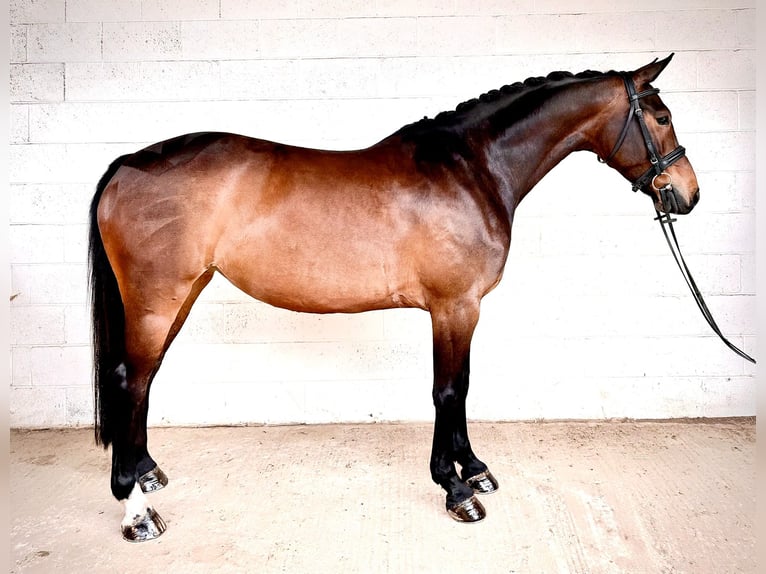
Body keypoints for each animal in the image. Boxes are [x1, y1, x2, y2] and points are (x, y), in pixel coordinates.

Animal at [88, 53, 699, 541]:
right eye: (661, 118)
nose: (688, 195)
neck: (473, 170)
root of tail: (127, 164)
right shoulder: (455, 306)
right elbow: (448, 390)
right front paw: (456, 490)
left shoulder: (462, 309)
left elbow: (462, 387)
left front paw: (473, 468)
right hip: (156, 300)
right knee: (128, 379)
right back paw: (136, 510)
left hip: (182, 295)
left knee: (143, 379)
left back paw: (147, 472)